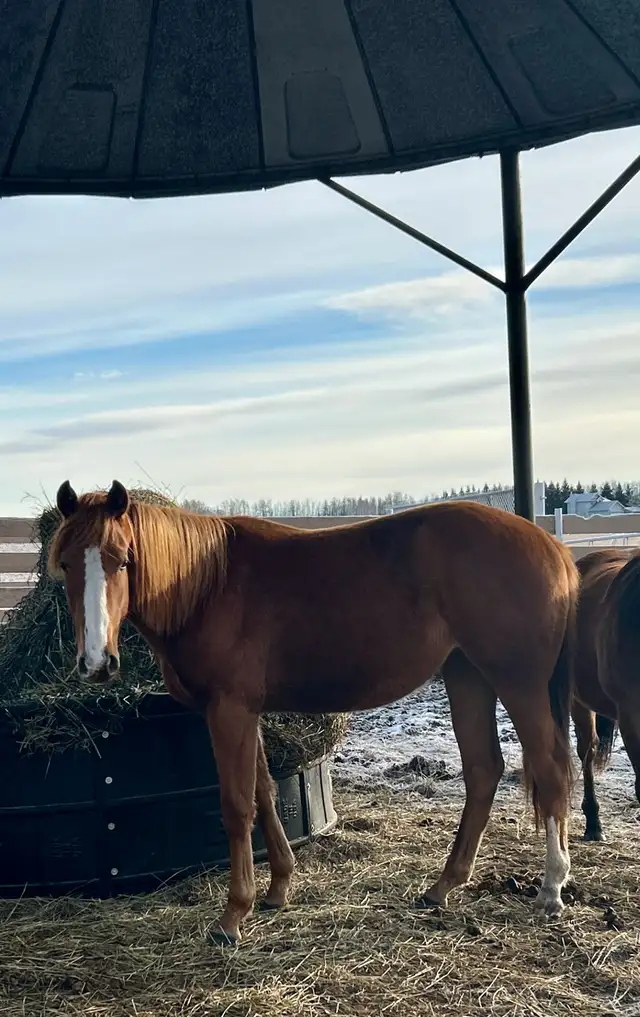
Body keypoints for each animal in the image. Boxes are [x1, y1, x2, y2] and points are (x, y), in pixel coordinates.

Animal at [49, 479, 579, 946]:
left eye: (122, 560)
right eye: (67, 564)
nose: (96, 663)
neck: (206, 587)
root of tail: (551, 546)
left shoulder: (229, 709)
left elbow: (237, 805)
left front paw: (232, 915)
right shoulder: (248, 712)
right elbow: (264, 792)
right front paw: (278, 888)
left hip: (517, 682)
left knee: (550, 772)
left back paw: (552, 887)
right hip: (467, 675)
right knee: (483, 770)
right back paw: (443, 885)